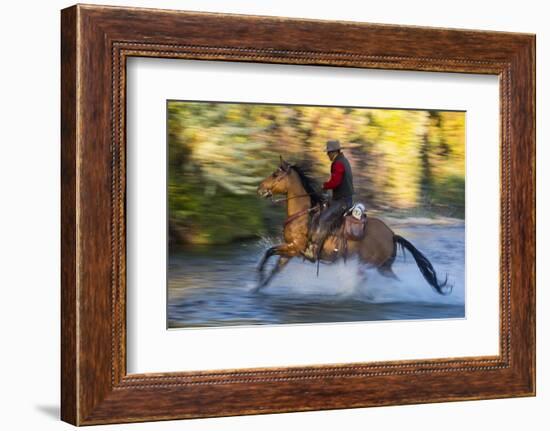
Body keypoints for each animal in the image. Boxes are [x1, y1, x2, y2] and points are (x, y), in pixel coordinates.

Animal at [256, 157, 450, 296]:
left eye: (275, 174)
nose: (259, 189)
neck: (303, 215)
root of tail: (392, 235)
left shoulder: (295, 247)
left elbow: (269, 252)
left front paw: (258, 276)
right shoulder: (290, 250)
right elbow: (275, 267)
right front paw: (259, 286)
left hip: (369, 264)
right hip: (383, 267)